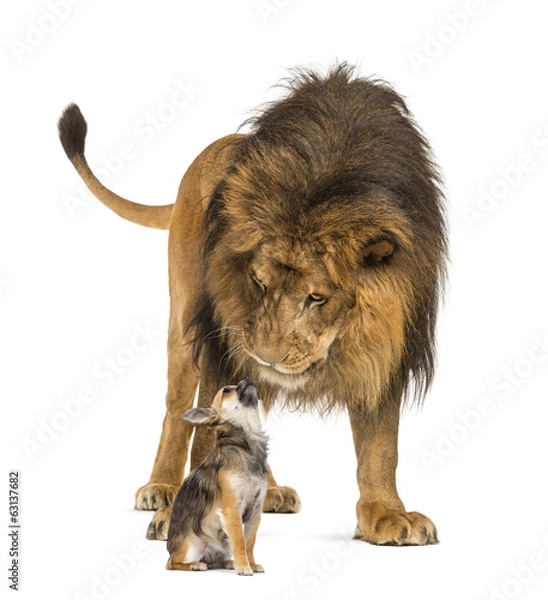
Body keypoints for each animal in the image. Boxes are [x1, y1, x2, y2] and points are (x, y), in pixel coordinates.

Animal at [57, 63, 448, 548]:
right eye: (258, 283)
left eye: (317, 297)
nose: (266, 355)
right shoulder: (220, 337)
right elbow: (206, 437)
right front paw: (186, 511)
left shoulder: (386, 345)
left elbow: (380, 447)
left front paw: (386, 515)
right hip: (184, 320)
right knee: (175, 407)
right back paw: (162, 487)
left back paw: (268, 488)